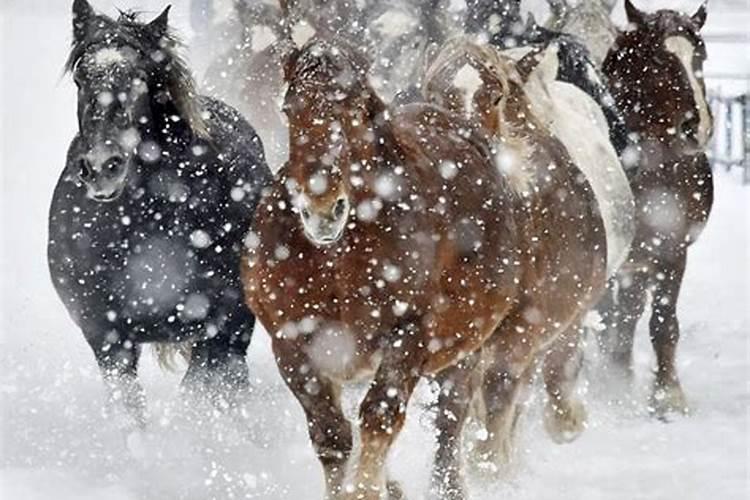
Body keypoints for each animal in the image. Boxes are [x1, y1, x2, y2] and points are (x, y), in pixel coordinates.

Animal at [47, 0, 272, 430]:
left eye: (138, 78)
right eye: (81, 78)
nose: (102, 167)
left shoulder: (223, 327)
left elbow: (197, 396)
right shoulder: (107, 337)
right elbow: (130, 412)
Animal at [600, 0, 716, 416]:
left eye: (700, 56)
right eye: (657, 60)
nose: (697, 128)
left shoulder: (671, 250)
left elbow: (663, 323)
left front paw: (668, 396)